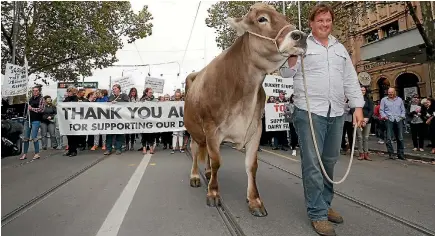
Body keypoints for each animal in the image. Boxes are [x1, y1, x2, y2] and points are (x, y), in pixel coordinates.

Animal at [186, 3, 308, 218]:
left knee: (205, 154)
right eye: (262, 19)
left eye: (285, 17)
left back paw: (207, 173)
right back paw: (195, 176)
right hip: (195, 132)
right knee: (195, 151)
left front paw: (254, 201)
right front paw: (213, 193)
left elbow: (251, 166)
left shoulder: (256, 129)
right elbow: (217, 161)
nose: (300, 35)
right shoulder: (211, 129)